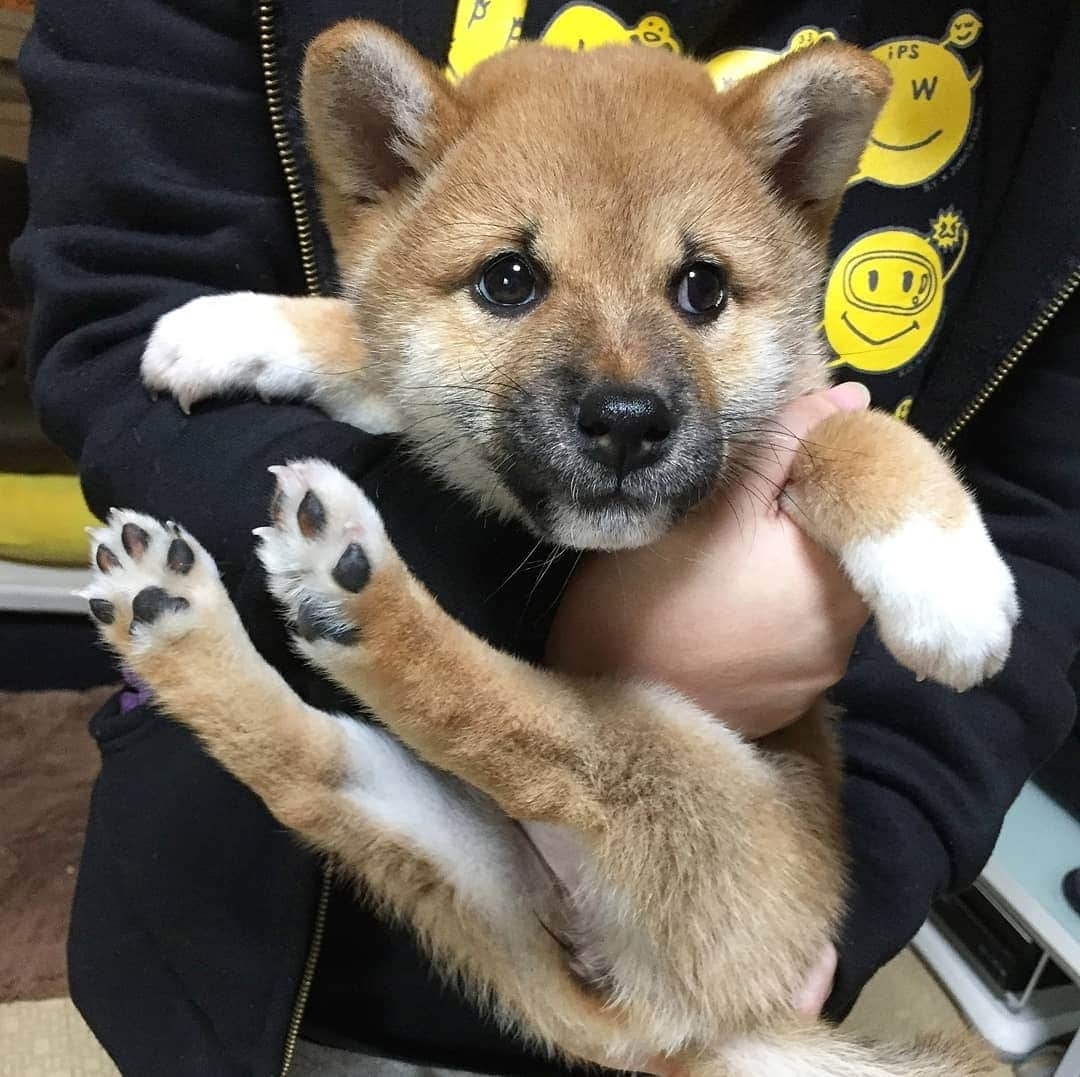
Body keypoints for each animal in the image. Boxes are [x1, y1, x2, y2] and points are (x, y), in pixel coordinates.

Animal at [86, 18, 1010, 1075]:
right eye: (509, 279)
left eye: (702, 287)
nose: (627, 421)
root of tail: (695, 1025)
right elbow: (366, 341)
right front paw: (231, 324)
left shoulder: (794, 422)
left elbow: (855, 437)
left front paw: (947, 574)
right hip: (465, 841)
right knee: (325, 769)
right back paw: (179, 613)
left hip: (665, 783)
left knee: (504, 732)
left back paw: (340, 590)